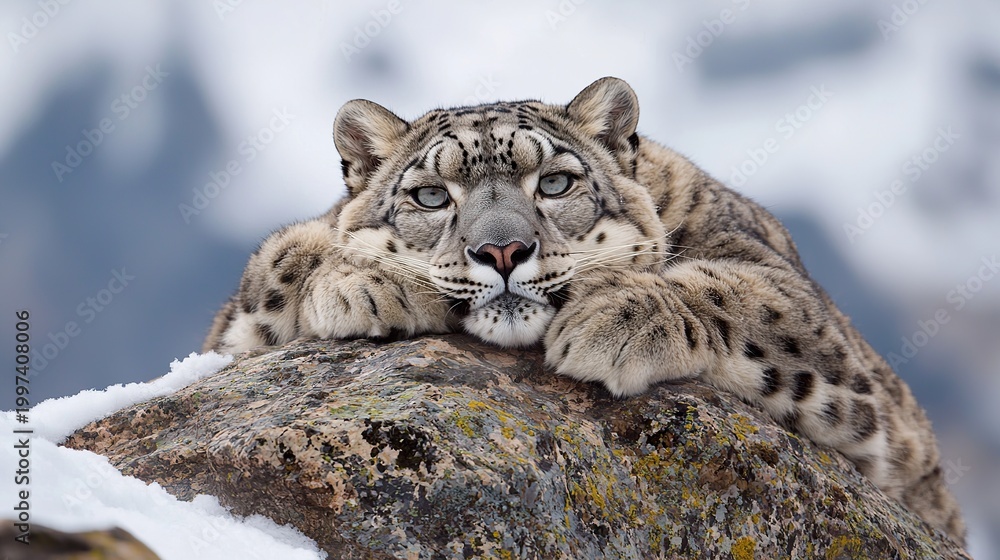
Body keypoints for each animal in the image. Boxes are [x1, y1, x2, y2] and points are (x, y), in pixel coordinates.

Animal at [203, 77, 965, 544]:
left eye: (557, 182)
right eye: (431, 195)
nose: (503, 249)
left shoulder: (805, 312)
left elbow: (733, 289)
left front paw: (616, 321)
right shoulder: (234, 322)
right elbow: (278, 260)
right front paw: (358, 279)